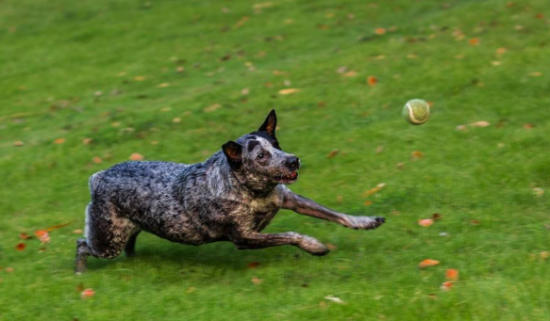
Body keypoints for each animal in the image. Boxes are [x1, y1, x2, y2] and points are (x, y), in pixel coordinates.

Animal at [75, 110, 388, 272]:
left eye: (277, 144)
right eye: (260, 156)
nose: (293, 160)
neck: (252, 192)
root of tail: (98, 177)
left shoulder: (289, 198)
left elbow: (333, 214)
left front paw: (365, 221)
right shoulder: (243, 237)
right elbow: (290, 235)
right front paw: (314, 246)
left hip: (130, 228)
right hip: (107, 241)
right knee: (82, 244)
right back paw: (81, 271)